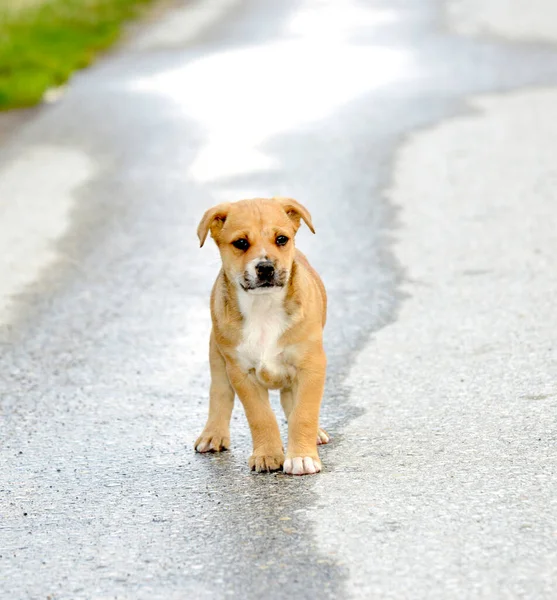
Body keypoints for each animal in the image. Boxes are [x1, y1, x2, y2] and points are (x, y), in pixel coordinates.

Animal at [194, 199, 328, 476]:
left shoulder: (311, 366)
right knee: (219, 393)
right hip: (217, 356)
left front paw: (301, 456)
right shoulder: (241, 374)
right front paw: (267, 454)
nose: (266, 267)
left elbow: (304, 413)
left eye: (281, 239)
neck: (263, 307)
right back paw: (213, 434)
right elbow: (260, 417)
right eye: (241, 243)